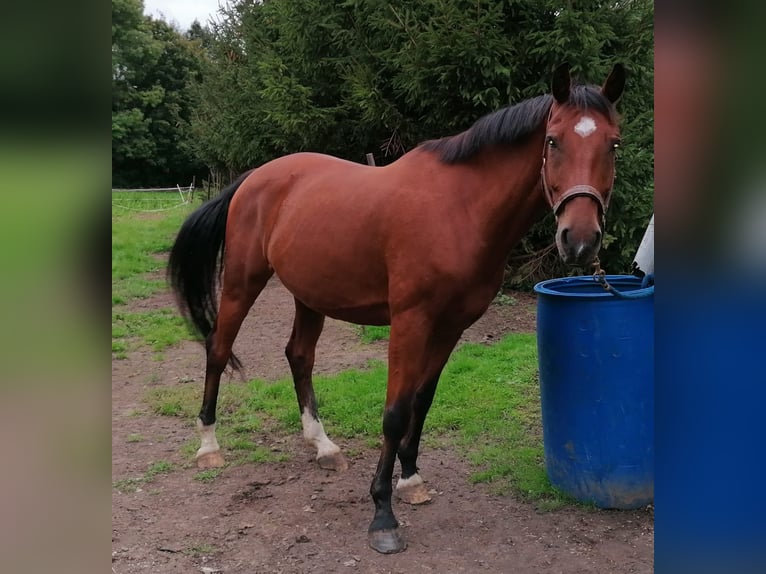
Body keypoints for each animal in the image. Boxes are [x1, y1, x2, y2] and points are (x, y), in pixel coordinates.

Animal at [168, 62, 625, 554]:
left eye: (613, 143)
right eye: (553, 141)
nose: (580, 240)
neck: (459, 208)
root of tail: (254, 178)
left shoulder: (451, 326)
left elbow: (421, 401)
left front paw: (411, 479)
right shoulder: (410, 322)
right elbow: (395, 412)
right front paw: (382, 515)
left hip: (310, 294)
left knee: (299, 356)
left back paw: (323, 445)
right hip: (242, 282)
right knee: (218, 349)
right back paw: (209, 446)